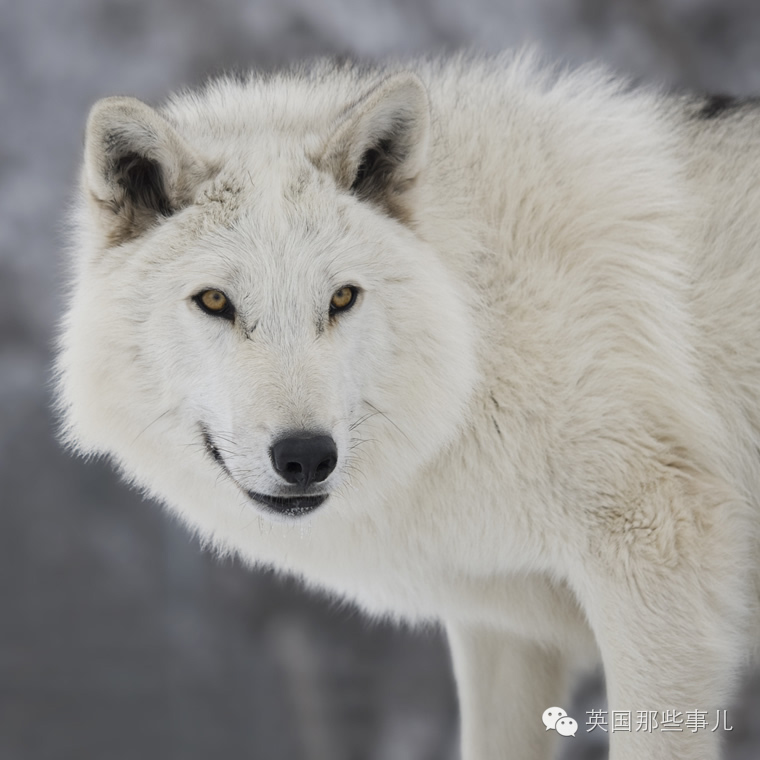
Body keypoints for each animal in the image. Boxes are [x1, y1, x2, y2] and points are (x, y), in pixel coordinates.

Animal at [56, 55, 760, 760]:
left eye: (342, 298)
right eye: (213, 301)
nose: (306, 457)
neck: (476, 344)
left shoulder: (656, 570)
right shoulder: (504, 627)